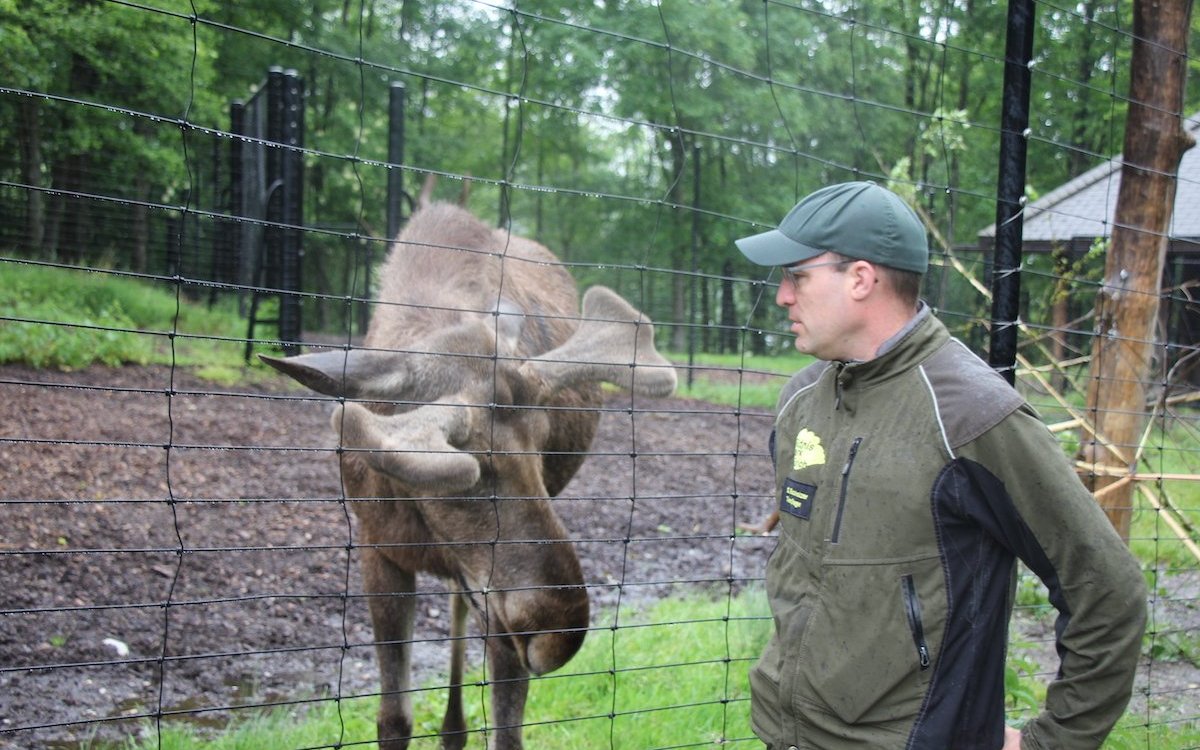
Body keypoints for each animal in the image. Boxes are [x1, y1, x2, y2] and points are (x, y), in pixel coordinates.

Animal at [262, 195, 676, 744]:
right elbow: (393, 719)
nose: (558, 630)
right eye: (470, 466)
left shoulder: (497, 609)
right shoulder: (380, 551)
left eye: (543, 442)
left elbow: (506, 730)